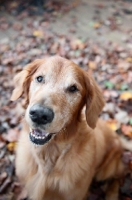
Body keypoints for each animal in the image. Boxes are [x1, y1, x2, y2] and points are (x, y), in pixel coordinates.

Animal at [10, 56, 132, 200]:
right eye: (39, 78)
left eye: (73, 88)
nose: (40, 114)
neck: (49, 154)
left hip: (106, 170)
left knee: (120, 174)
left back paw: (112, 193)